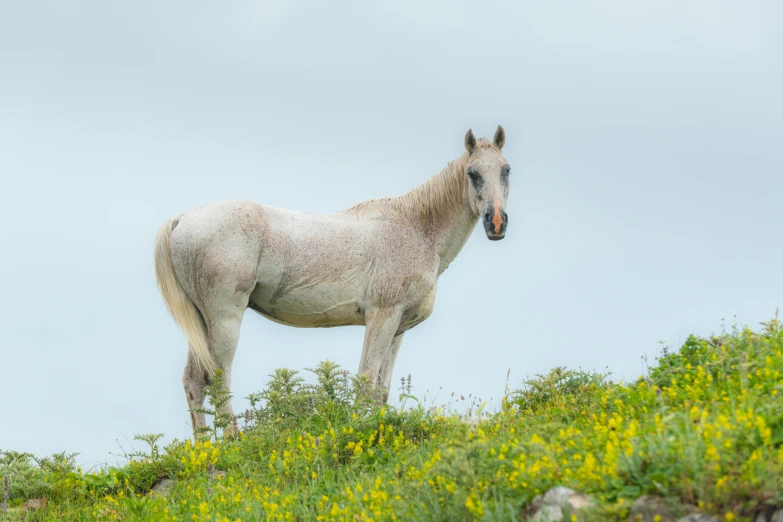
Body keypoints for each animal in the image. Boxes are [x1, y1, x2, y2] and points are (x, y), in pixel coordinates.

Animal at [154, 128, 512, 432]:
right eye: (472, 173)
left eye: (506, 170)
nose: (496, 222)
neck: (416, 228)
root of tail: (181, 220)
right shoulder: (381, 317)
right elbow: (365, 381)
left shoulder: (398, 327)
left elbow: (381, 388)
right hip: (224, 319)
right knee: (218, 379)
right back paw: (232, 444)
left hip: (202, 322)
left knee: (194, 381)